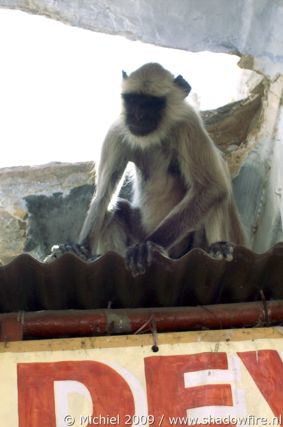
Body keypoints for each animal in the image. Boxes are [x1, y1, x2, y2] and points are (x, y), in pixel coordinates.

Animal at [50, 63, 247, 278]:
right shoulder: (117, 130)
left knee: (217, 191)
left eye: (151, 104)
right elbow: (104, 195)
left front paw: (148, 246)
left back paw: (217, 247)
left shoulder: (189, 123)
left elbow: (212, 187)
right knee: (117, 208)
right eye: (133, 101)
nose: (138, 116)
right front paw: (79, 249)